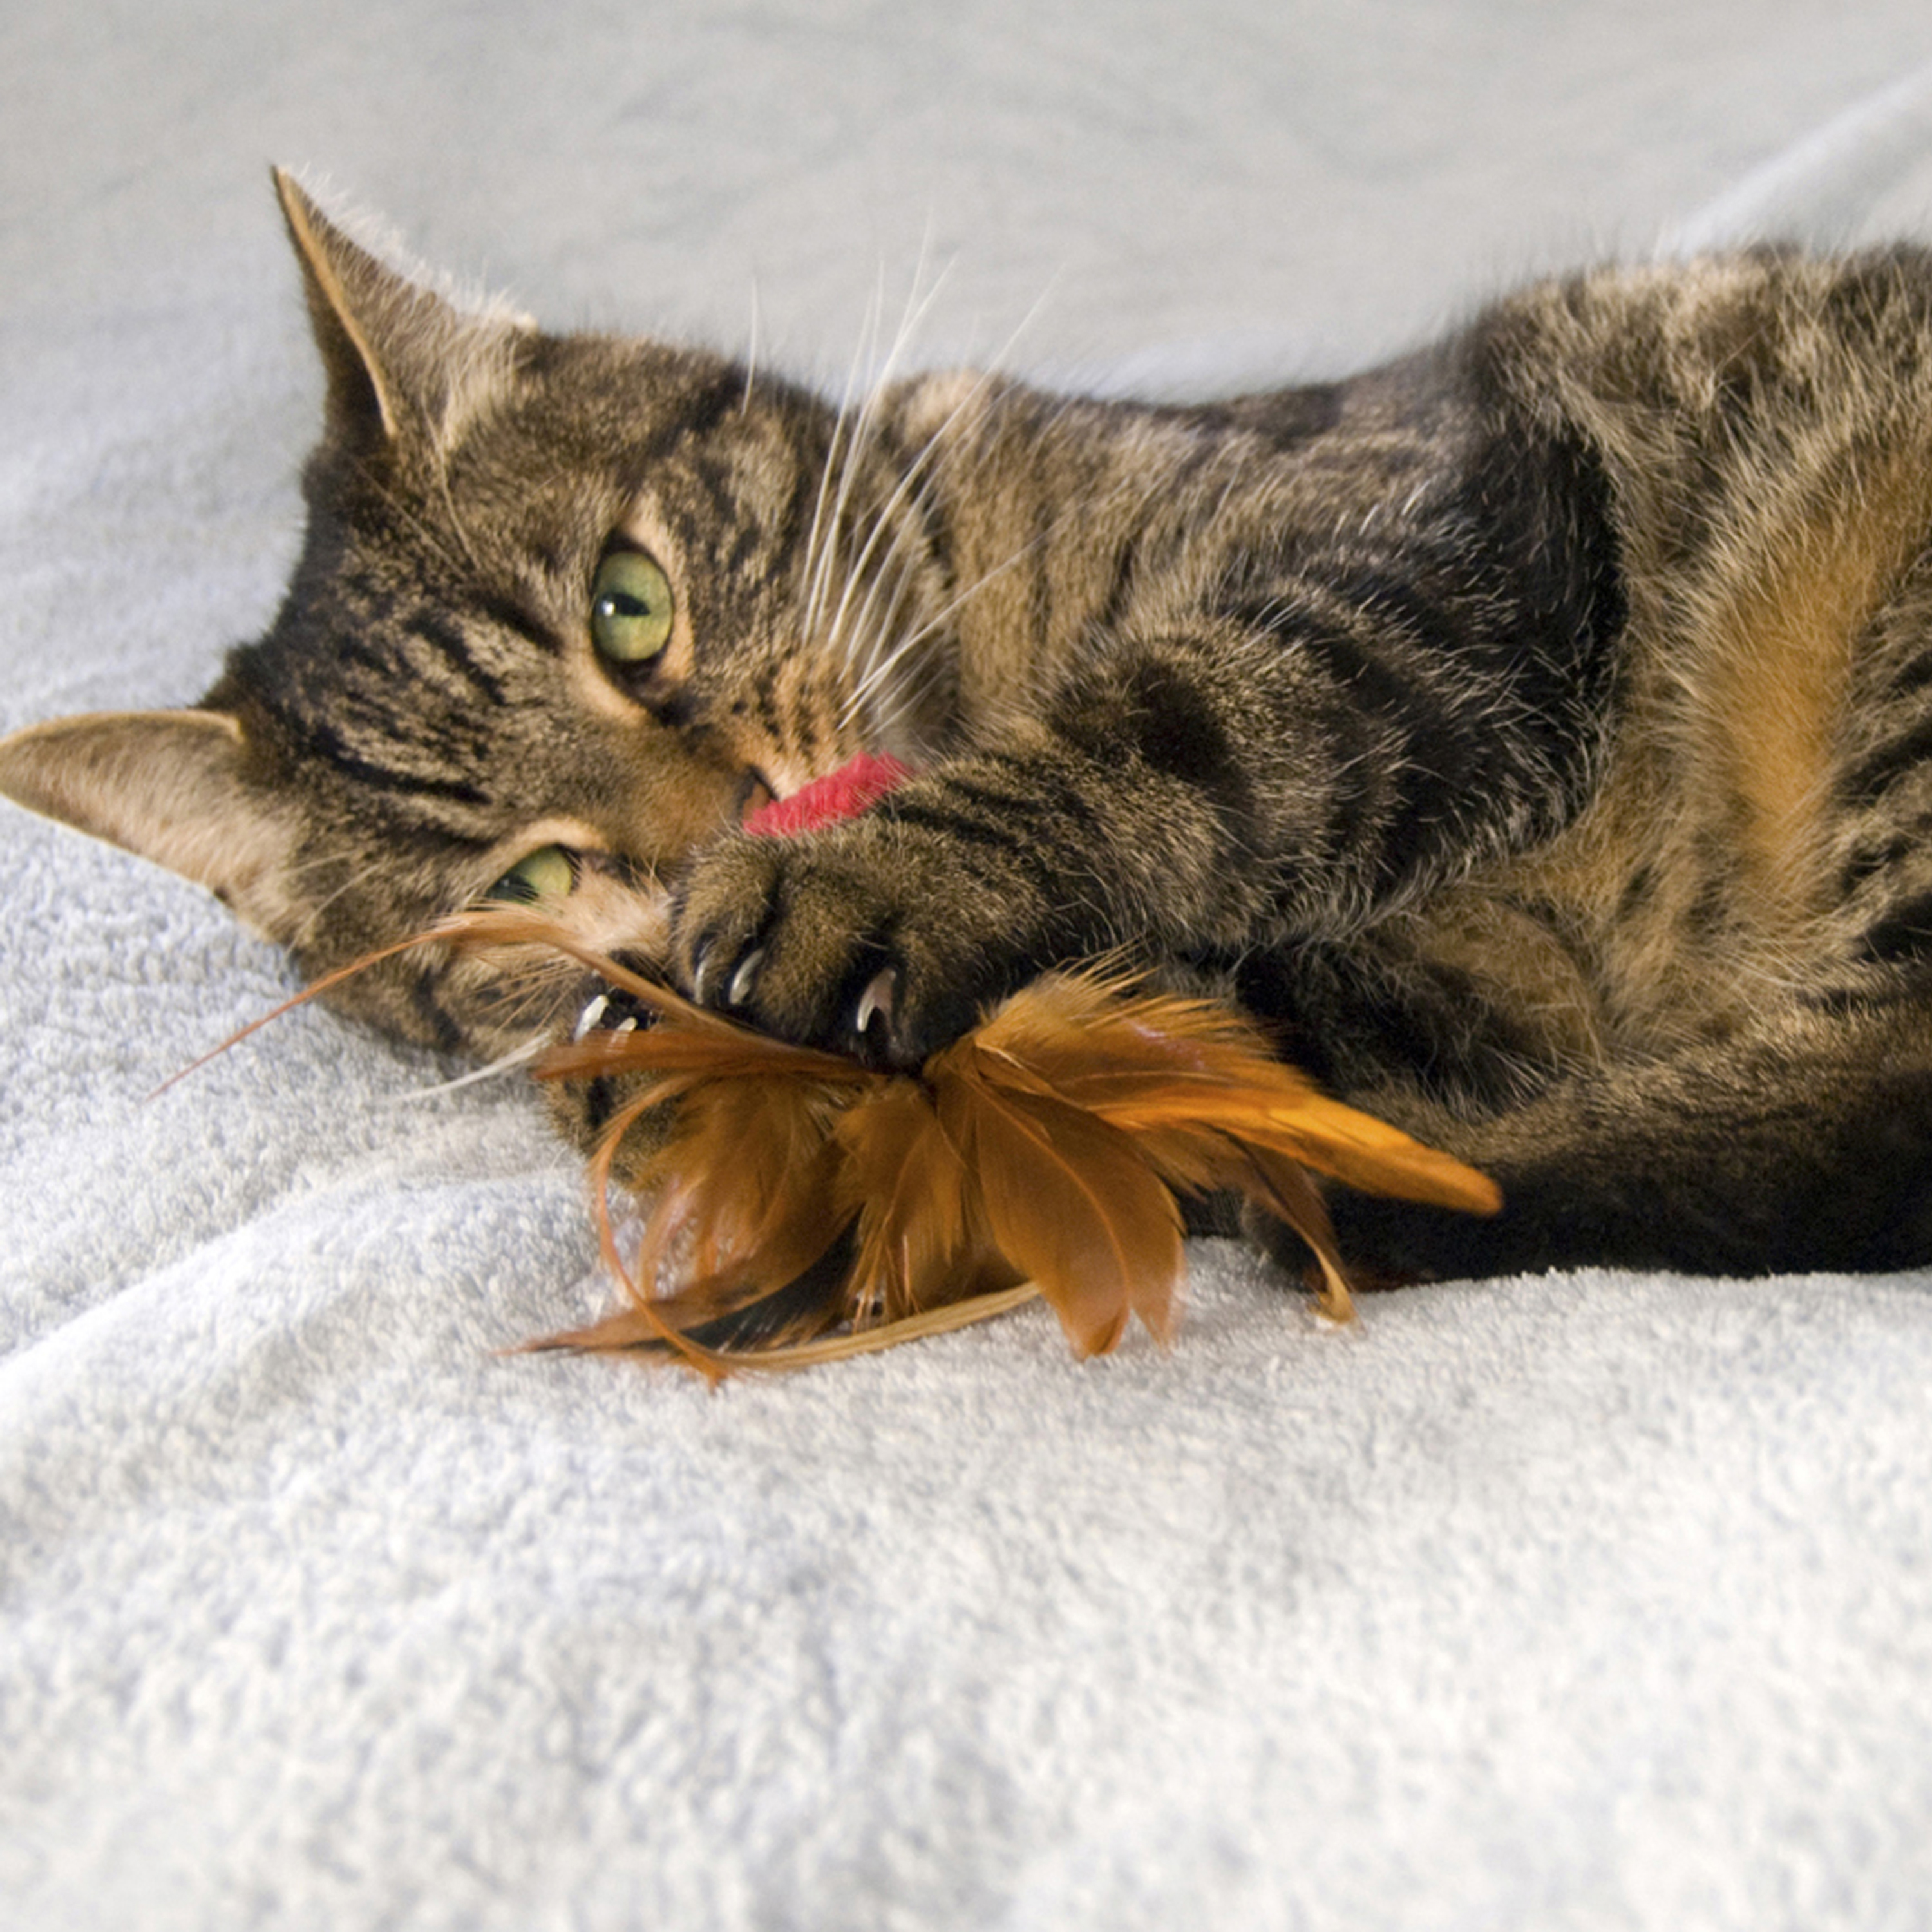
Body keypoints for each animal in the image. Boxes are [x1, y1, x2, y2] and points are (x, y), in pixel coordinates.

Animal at [3, 170, 1932, 1283]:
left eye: (630, 607)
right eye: (532, 877)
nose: (735, 814)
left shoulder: (1433, 534)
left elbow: (1176, 721)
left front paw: (857, 888)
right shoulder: (1472, 974)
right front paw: (670, 1065)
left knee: (1865, 1122)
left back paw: (1352, 1192)